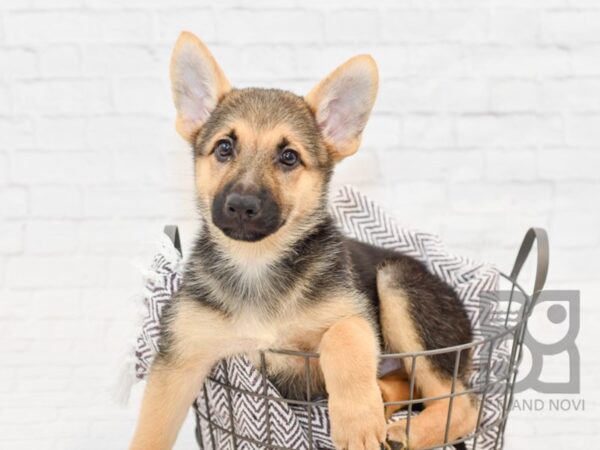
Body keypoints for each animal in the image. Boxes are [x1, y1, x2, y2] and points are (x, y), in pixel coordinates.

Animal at [131, 32, 478, 450]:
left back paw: (405, 429)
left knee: (462, 404)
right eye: (224, 148)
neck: (257, 264)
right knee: (409, 384)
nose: (241, 206)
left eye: (289, 157)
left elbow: (342, 337)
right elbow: (150, 430)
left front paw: (357, 422)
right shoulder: (180, 359)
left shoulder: (354, 315)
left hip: (399, 287)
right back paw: (383, 399)